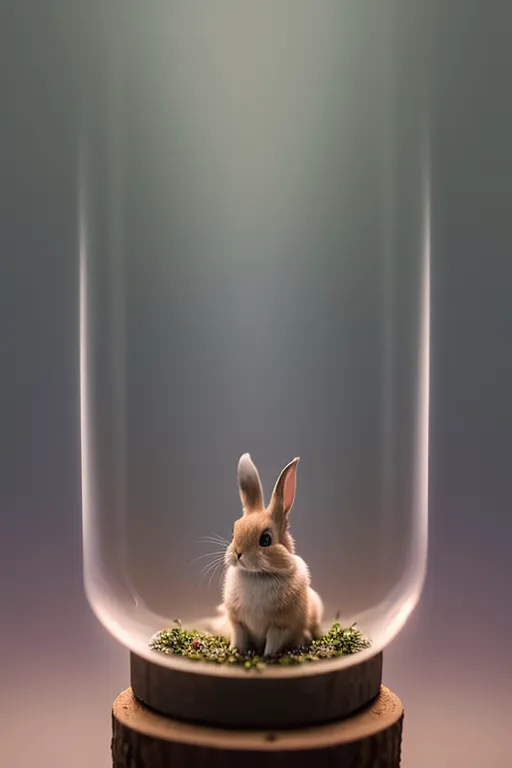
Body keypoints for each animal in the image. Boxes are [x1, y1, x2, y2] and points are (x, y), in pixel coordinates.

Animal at [221, 452, 324, 656]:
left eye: (266, 539)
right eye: (235, 530)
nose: (237, 553)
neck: (257, 575)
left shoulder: (281, 627)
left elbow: (273, 644)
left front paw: (267, 658)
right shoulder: (237, 622)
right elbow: (239, 638)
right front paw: (236, 652)